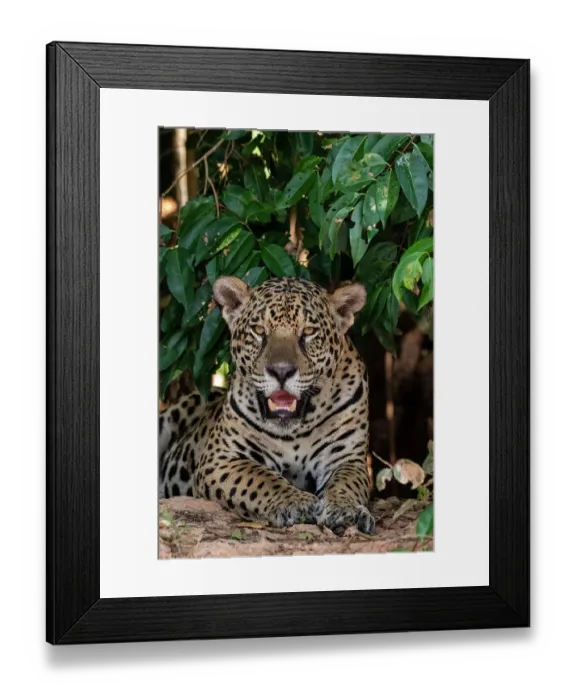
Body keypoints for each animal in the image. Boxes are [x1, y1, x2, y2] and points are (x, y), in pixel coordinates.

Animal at [159, 275, 375, 535]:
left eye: (309, 332)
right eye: (259, 330)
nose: (281, 371)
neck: (296, 430)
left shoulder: (347, 458)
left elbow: (346, 484)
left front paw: (346, 510)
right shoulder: (221, 459)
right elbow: (259, 479)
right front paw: (296, 502)